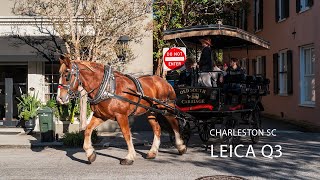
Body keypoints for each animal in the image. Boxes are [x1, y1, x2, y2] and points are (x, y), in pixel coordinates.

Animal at [56, 56, 186, 165]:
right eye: (59, 73)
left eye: (67, 75)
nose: (59, 98)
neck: (107, 88)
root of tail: (164, 81)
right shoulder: (100, 115)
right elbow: (87, 130)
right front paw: (90, 153)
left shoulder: (121, 115)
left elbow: (126, 134)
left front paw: (129, 157)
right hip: (151, 112)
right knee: (157, 129)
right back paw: (152, 152)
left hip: (166, 108)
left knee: (175, 124)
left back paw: (181, 146)